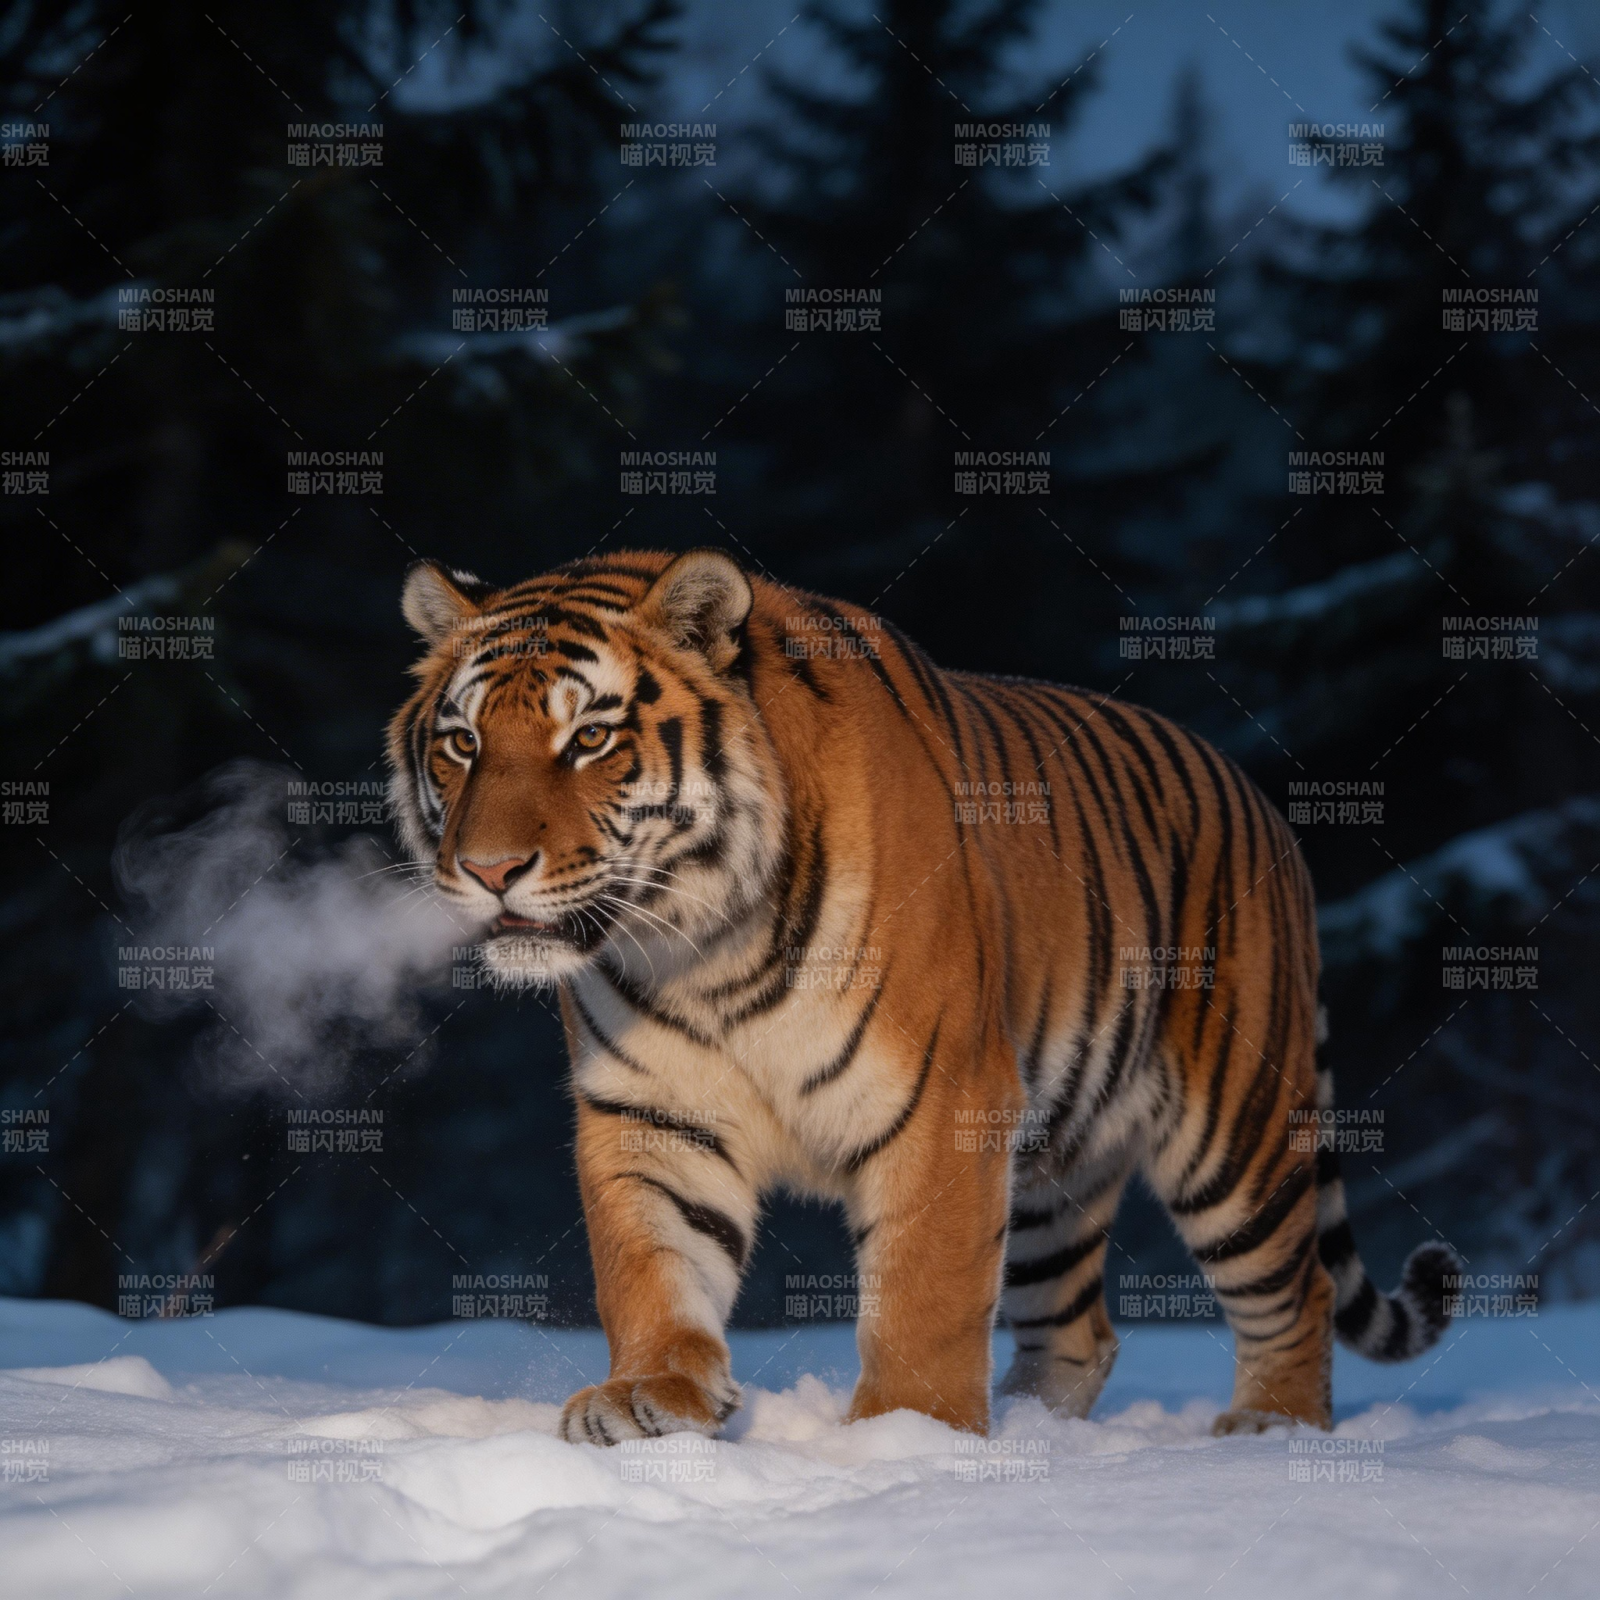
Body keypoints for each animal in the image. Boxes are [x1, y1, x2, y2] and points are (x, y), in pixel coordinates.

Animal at [386, 547, 1459, 1445]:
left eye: (592, 738)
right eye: (463, 743)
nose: (488, 871)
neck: (701, 943)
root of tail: (1262, 801)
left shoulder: (944, 1097)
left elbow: (923, 1293)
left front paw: (911, 1437)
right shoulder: (653, 1108)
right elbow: (649, 1264)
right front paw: (650, 1397)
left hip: (1234, 1131)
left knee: (1296, 1293)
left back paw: (1270, 1431)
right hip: (1054, 1169)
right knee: (1078, 1331)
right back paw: (1034, 1427)